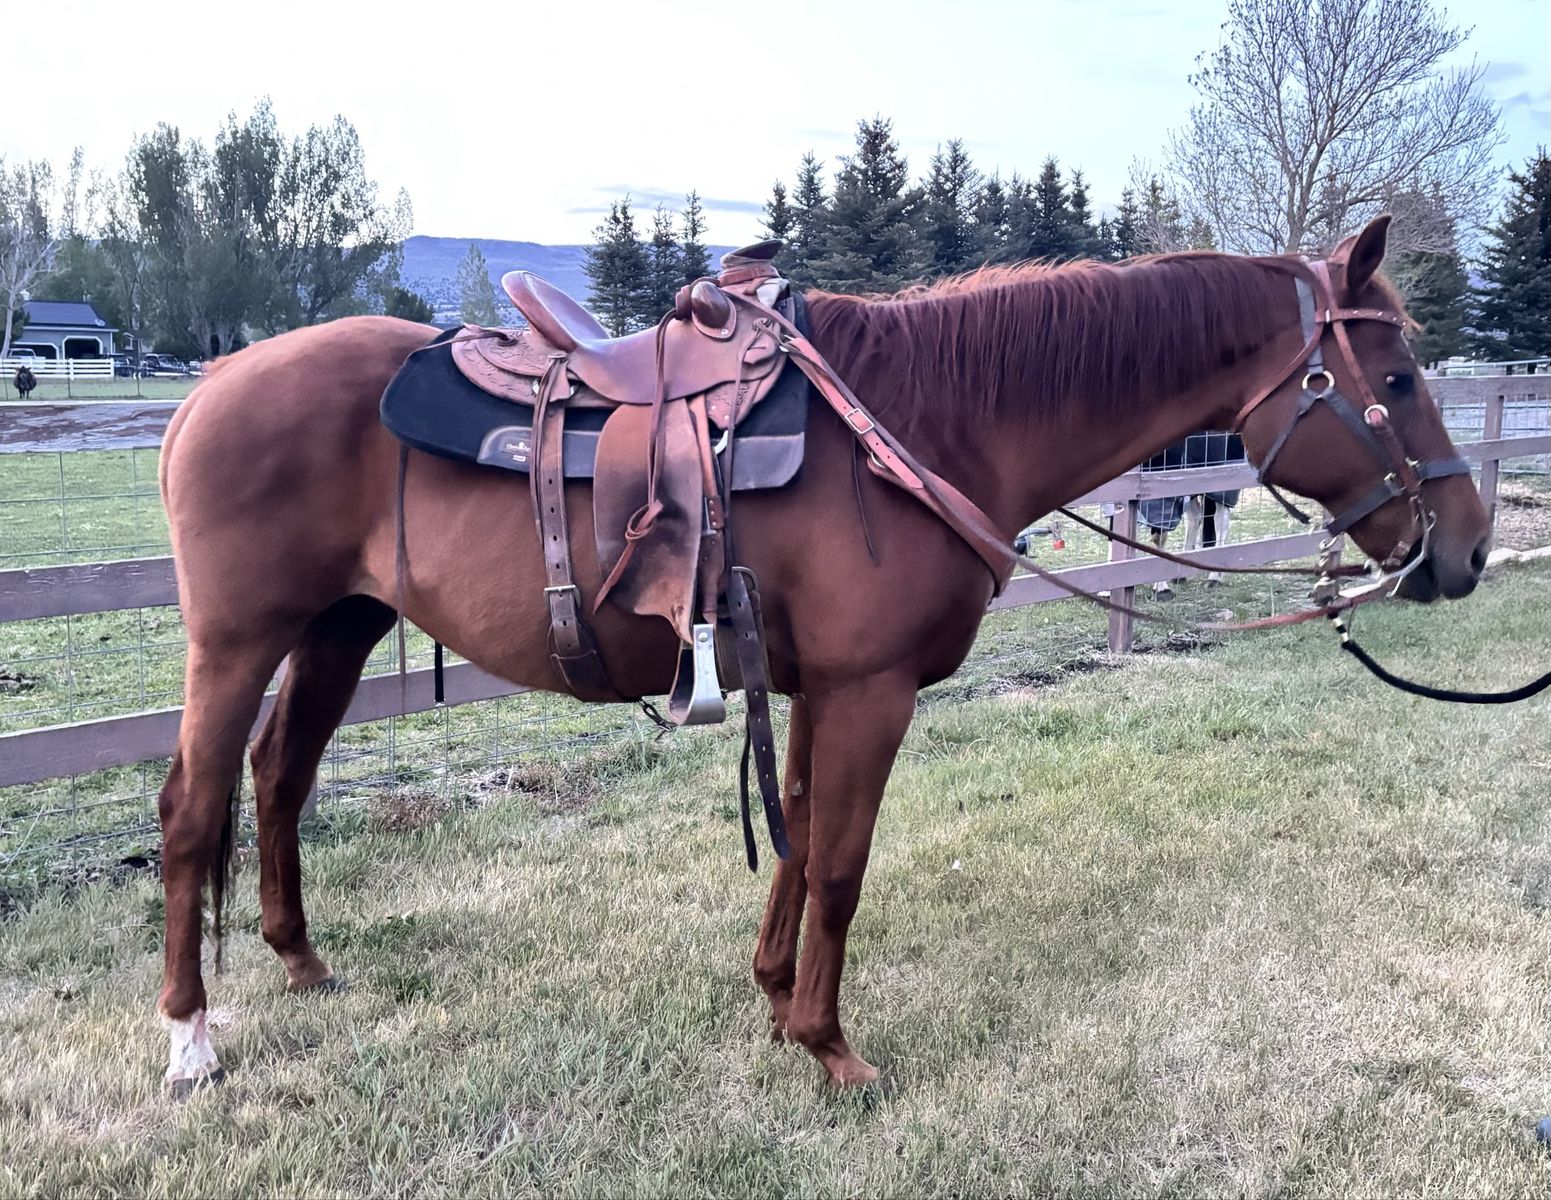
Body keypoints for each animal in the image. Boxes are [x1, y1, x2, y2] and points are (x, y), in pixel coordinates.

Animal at [1137, 431, 1247, 597]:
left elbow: (1159, 536)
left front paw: (1162, 589)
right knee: (1195, 518)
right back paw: (1181, 576)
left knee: (1220, 520)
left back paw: (1214, 578)